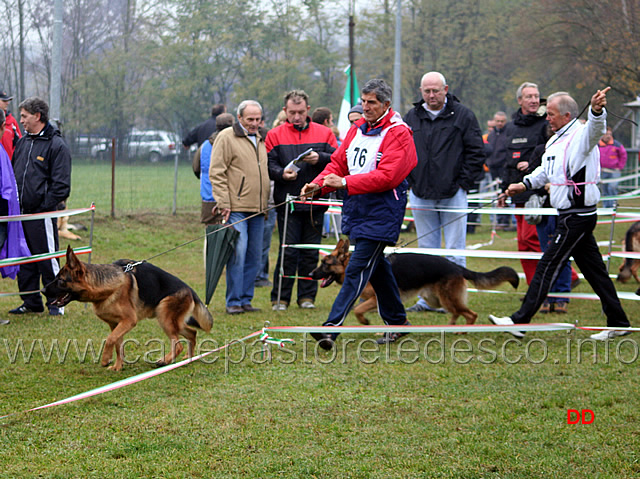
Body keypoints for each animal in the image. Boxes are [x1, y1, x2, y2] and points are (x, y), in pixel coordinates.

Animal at [42, 246, 214, 374]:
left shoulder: (129, 321)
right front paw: (118, 366)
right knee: (192, 333)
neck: (107, 287)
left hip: (164, 317)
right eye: (56, 278)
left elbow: (110, 339)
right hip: (172, 320)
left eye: (61, 281)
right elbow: (117, 344)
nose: (42, 290)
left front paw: (105, 359)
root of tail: (190, 290)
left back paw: (165, 360)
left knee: (178, 344)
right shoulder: (115, 324)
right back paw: (187, 359)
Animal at [312, 239, 520, 326]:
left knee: (471, 314)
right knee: (456, 312)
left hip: (447, 298)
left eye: (325, 264)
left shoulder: (376, 299)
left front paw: (364, 321)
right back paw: (452, 326)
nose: (310, 273)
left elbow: (358, 309)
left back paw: (463, 331)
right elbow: (357, 308)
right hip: (437, 300)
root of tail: (456, 267)